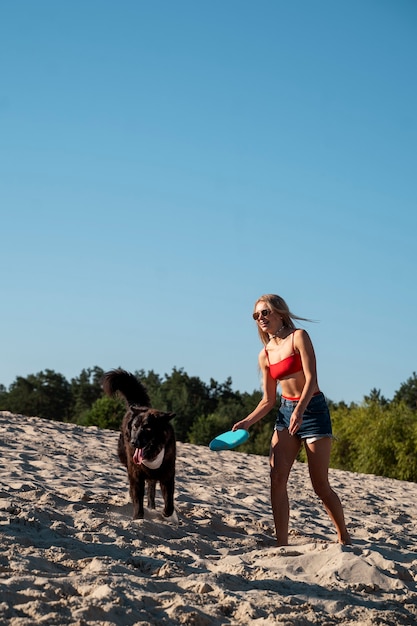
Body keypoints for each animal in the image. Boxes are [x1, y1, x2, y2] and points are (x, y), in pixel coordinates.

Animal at [104, 368, 177, 520]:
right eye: (135, 427)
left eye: (148, 429)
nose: (133, 442)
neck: (152, 455)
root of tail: (139, 406)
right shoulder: (136, 475)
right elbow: (137, 498)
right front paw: (138, 518)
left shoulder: (167, 474)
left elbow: (169, 501)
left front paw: (166, 513)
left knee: (151, 488)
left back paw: (152, 505)